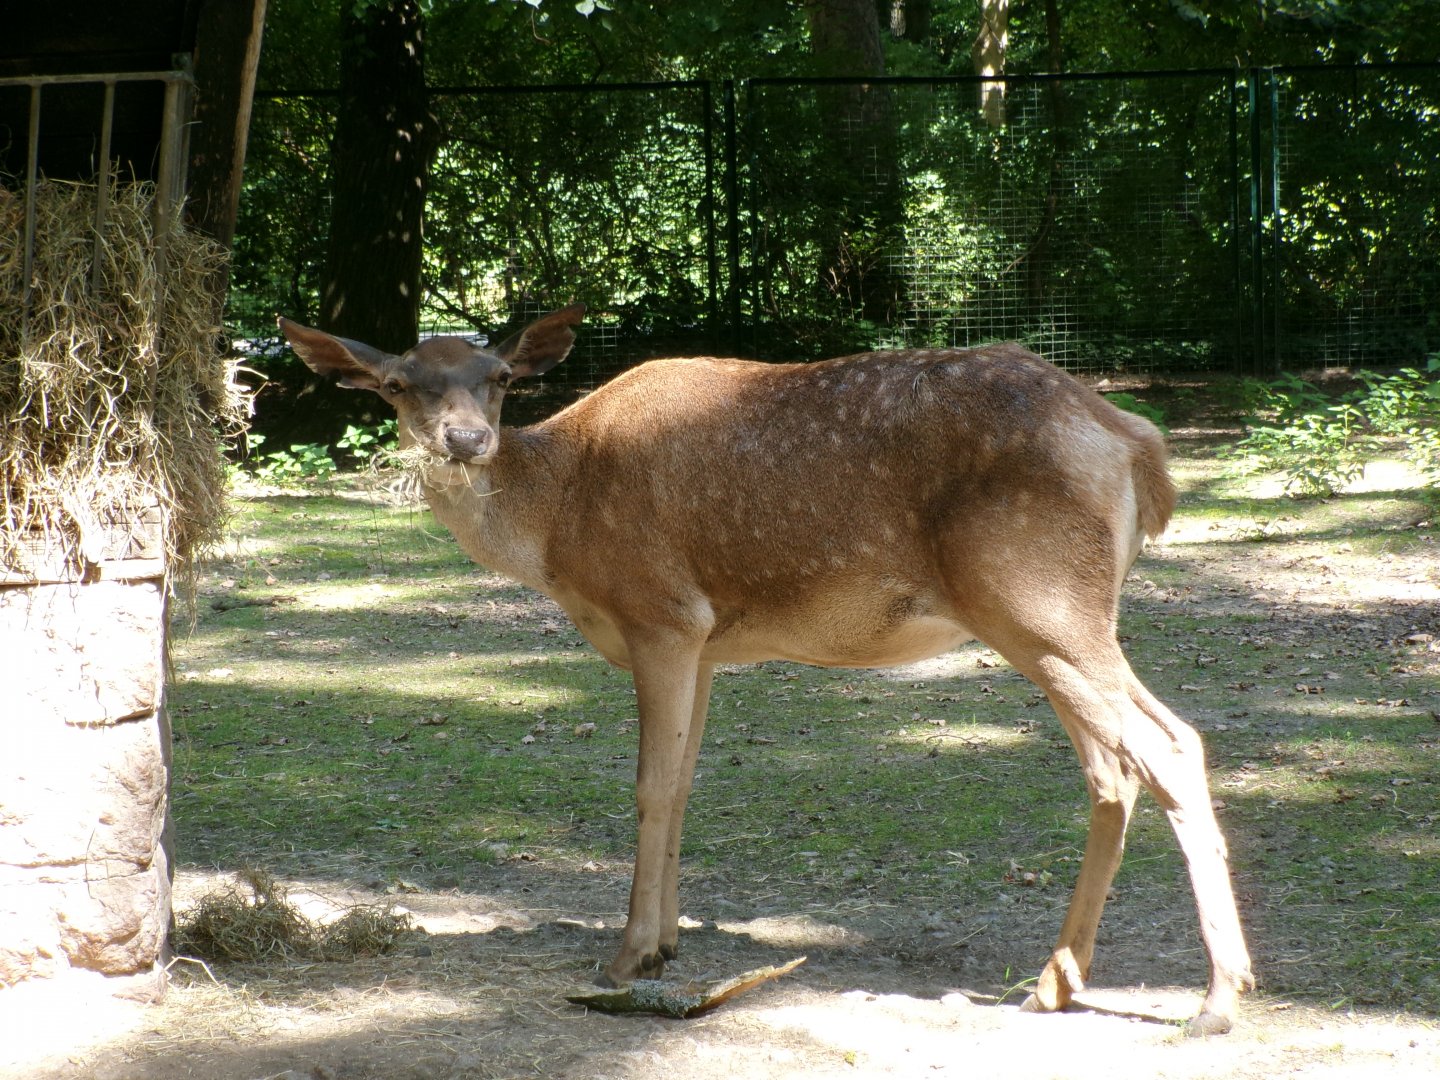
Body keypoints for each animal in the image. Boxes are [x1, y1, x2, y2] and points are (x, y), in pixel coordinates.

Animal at [278, 304, 1254, 1036]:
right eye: (399, 384)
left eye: (501, 378)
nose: (467, 439)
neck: (557, 533)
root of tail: (1136, 442)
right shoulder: (707, 641)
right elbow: (684, 783)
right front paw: (667, 941)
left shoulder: (662, 613)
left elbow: (649, 785)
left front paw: (627, 954)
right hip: (1059, 618)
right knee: (1119, 764)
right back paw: (1056, 981)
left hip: (1039, 599)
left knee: (1166, 748)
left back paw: (1216, 999)